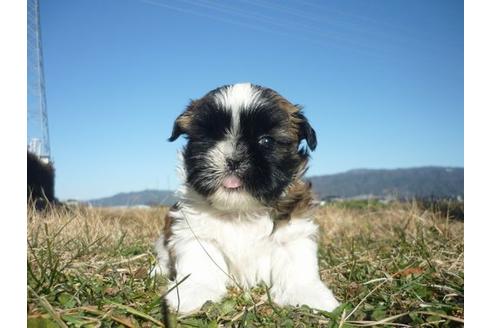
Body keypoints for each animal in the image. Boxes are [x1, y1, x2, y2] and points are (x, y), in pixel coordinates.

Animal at [153, 82, 338, 312]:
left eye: (266, 140)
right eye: (210, 138)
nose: (233, 159)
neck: (241, 211)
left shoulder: (293, 230)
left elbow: (297, 263)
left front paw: (307, 294)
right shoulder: (193, 232)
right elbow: (199, 262)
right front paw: (193, 292)